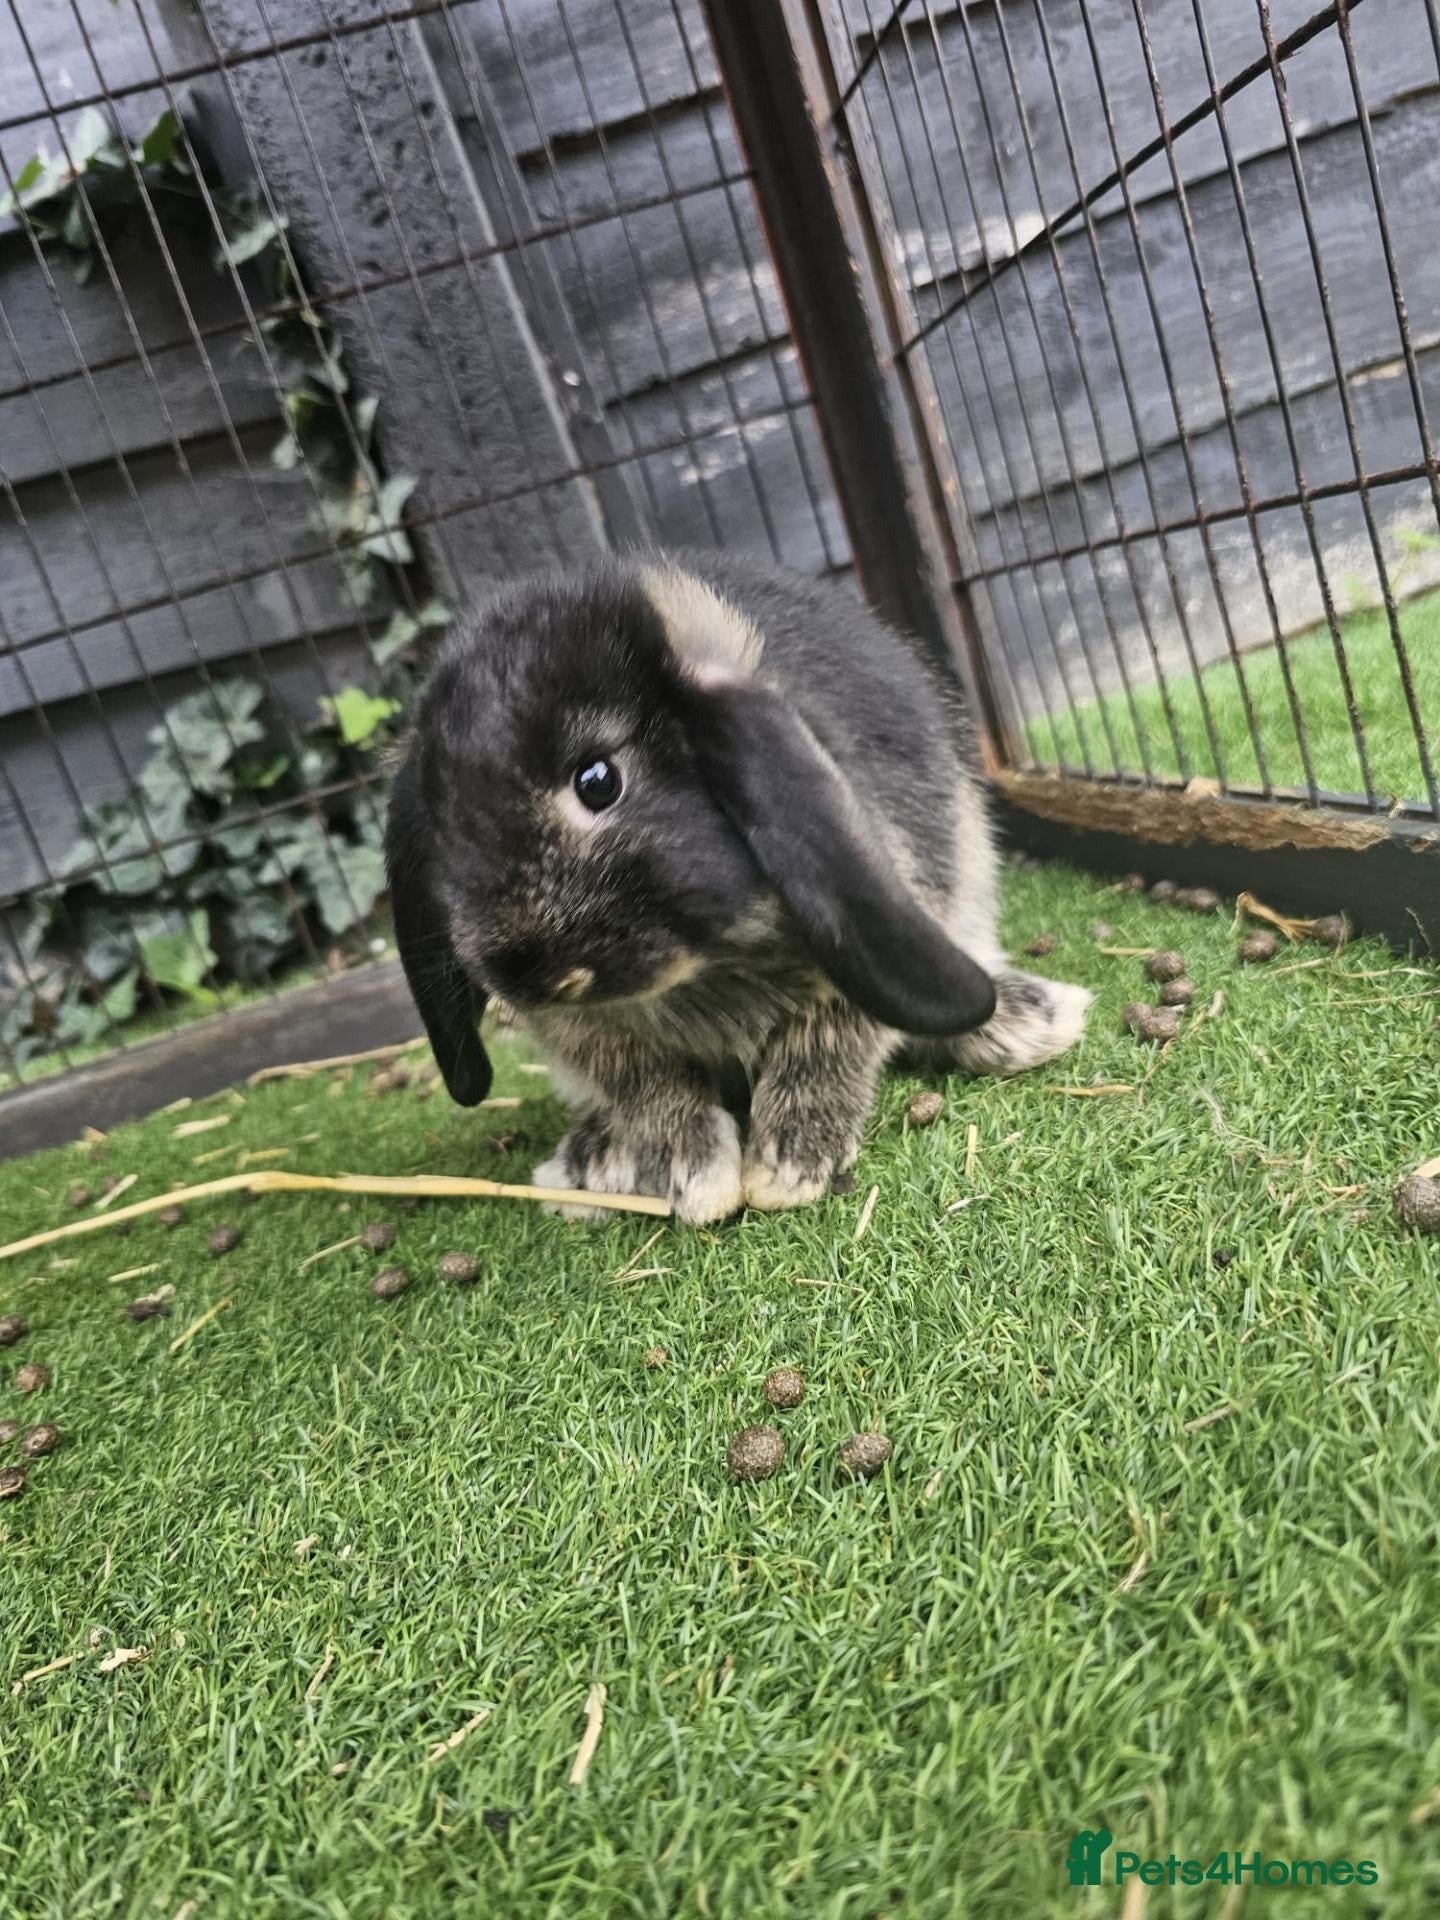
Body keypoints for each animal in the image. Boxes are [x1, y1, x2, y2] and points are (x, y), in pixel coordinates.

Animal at [385, 550, 1090, 1223]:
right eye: (443, 819)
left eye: (598, 780)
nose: (527, 975)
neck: (708, 965)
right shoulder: (595, 1040)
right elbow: (649, 1090)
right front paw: (693, 1171)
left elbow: (823, 1047)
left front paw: (787, 1164)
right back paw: (589, 1162)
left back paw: (1029, 1019)